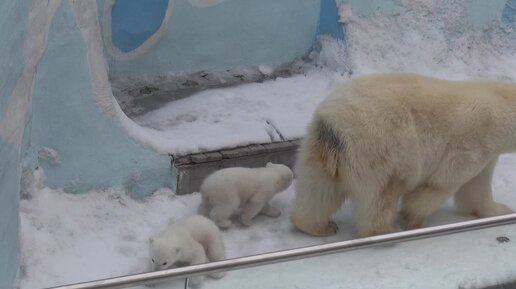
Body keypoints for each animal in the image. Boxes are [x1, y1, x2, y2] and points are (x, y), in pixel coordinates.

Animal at [292, 71, 512, 236]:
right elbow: (444, 180)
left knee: (318, 189)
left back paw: (317, 225)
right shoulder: (474, 139)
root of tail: (331, 124)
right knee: (382, 192)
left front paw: (500, 209)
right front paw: (412, 217)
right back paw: (386, 229)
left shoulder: (488, 150)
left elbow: (477, 186)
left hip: (317, 149)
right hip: (377, 145)